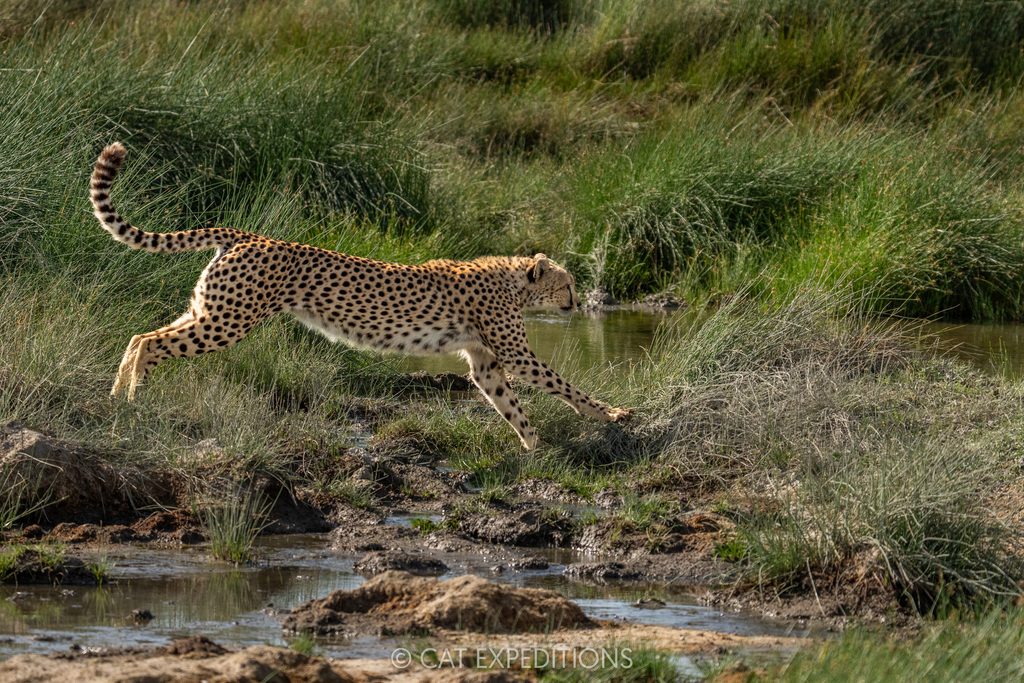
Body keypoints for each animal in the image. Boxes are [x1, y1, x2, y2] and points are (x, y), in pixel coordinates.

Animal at [90, 142, 631, 449]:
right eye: (568, 284)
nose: (576, 303)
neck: (511, 278)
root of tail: (247, 234)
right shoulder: (514, 353)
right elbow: (563, 384)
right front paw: (611, 415)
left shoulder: (486, 361)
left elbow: (509, 404)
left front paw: (534, 447)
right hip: (227, 321)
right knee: (152, 343)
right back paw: (135, 398)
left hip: (210, 310)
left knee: (139, 337)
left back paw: (117, 397)